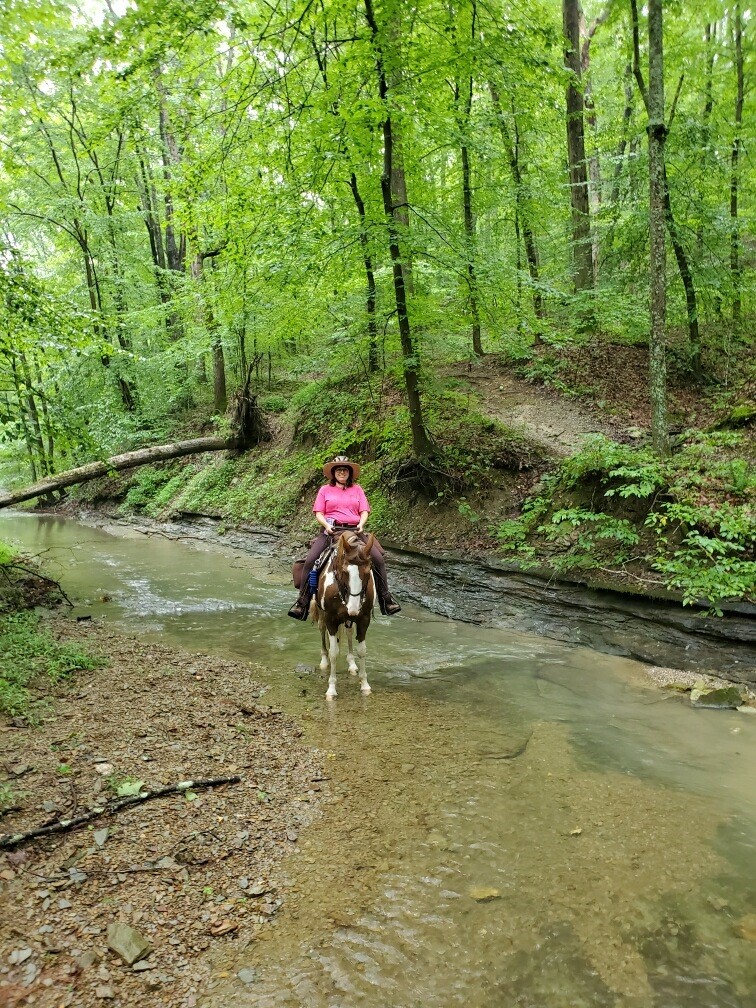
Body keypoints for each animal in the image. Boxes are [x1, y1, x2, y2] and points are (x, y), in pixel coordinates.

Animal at [310, 528, 376, 701]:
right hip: (322, 613)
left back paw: (352, 664)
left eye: (368, 571)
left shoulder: (363, 619)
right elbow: (334, 653)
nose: (353, 609)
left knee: (349, 632)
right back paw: (324, 661)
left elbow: (362, 651)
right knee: (322, 630)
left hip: (349, 620)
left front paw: (364, 685)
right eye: (345, 571)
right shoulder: (331, 619)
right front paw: (331, 689)